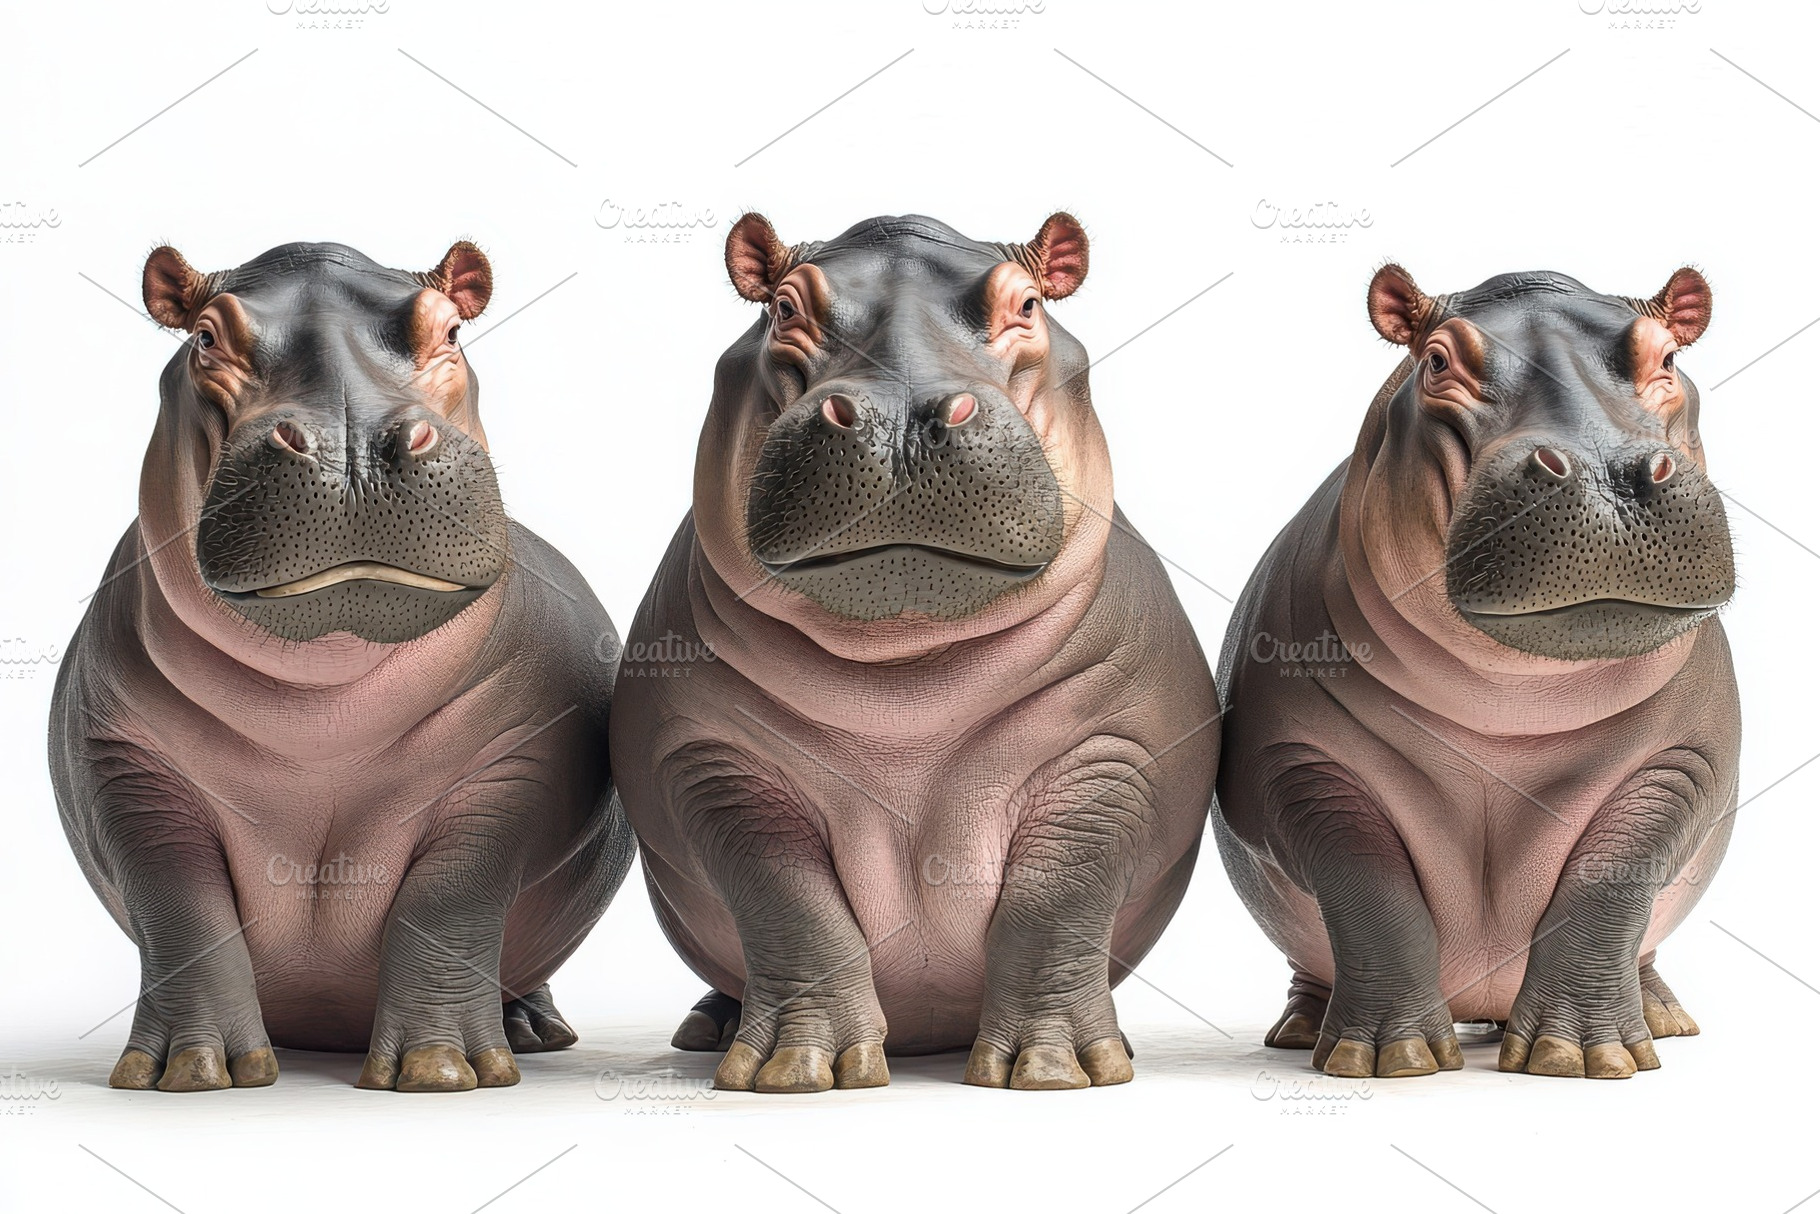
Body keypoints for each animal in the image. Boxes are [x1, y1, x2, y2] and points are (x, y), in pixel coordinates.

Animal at [49, 241, 634, 1092]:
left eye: (451, 330)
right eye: (204, 338)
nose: (351, 445)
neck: (321, 706)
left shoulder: (516, 763)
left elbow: (449, 901)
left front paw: (437, 1067)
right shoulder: (124, 767)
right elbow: (181, 909)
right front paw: (190, 1070)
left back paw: (532, 1030)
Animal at [610, 212, 1218, 1093]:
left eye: (1028, 303)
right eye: (783, 307)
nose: (898, 417)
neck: (904, 691)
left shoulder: (1111, 755)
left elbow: (1055, 902)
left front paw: (1054, 1066)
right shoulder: (714, 765)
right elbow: (789, 903)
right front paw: (797, 1067)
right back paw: (709, 1029)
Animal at [1214, 264, 1738, 1079]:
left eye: (1669, 357)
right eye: (1436, 361)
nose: (1606, 474)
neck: (1510, 701)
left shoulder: (1684, 764)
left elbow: (1611, 878)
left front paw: (1575, 1054)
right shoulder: (1294, 766)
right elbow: (1370, 882)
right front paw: (1388, 1056)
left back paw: (1663, 1017)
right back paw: (1302, 1029)